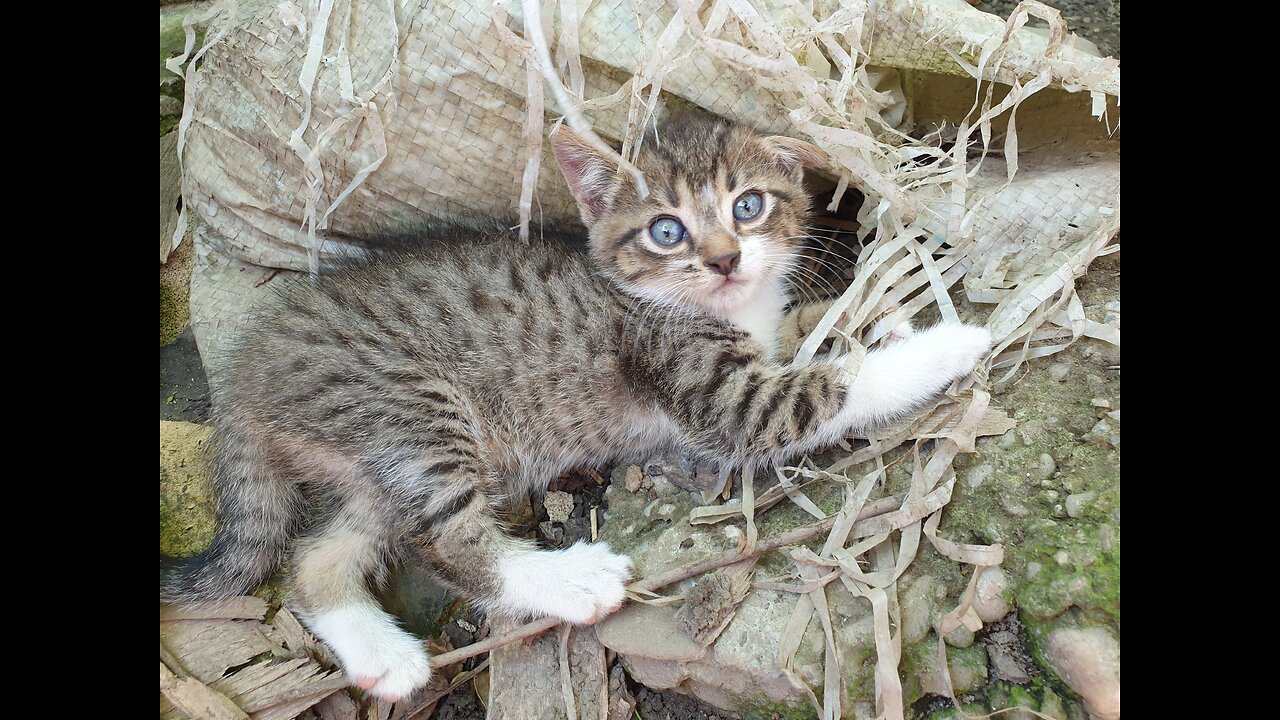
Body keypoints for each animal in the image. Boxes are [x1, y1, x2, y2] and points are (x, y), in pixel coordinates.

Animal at [160, 117, 993, 702]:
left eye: (749, 205)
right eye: (667, 230)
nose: (725, 258)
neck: (699, 305)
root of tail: (249, 371)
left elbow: (804, 334)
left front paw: (875, 320)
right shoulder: (720, 394)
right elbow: (828, 387)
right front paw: (947, 344)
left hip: (372, 462)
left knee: (314, 558)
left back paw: (383, 656)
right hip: (410, 407)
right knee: (447, 540)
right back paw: (570, 582)